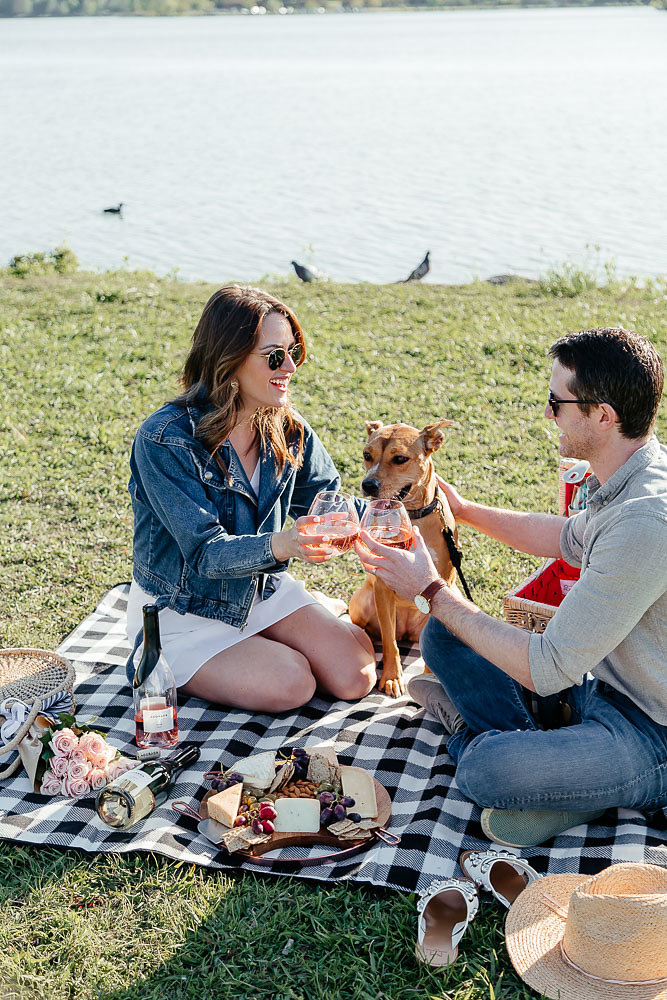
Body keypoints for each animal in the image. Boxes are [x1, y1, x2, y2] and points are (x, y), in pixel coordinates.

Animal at [349, 419, 460, 698]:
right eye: (367, 455)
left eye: (400, 458)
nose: (368, 484)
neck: (412, 516)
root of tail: (408, 632)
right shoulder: (382, 587)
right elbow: (389, 642)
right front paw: (391, 676)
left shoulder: (442, 585)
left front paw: (431, 679)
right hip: (362, 601)